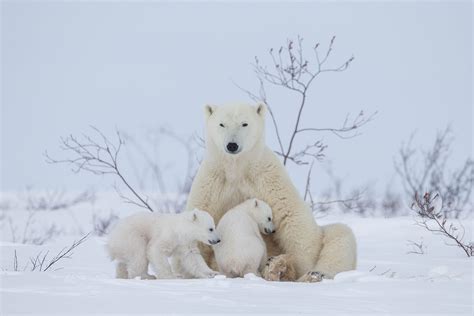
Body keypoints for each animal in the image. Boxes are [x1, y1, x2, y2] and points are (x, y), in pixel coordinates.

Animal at [185, 102, 356, 282]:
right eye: (221, 124)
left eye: (244, 123)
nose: (232, 145)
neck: (236, 167)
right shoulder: (212, 182)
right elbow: (200, 220)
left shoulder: (267, 176)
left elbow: (293, 216)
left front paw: (301, 269)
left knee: (340, 235)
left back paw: (310, 272)